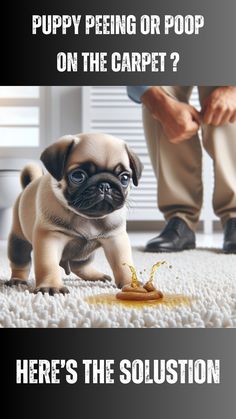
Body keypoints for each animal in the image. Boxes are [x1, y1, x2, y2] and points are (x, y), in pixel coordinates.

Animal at [5, 133, 143, 294]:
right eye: (78, 176)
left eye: (125, 178)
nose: (105, 185)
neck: (87, 217)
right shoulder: (50, 237)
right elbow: (47, 264)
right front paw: (50, 286)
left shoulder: (115, 239)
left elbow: (123, 263)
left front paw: (131, 284)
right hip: (18, 240)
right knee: (21, 262)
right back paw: (17, 280)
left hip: (84, 255)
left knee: (80, 265)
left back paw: (95, 275)